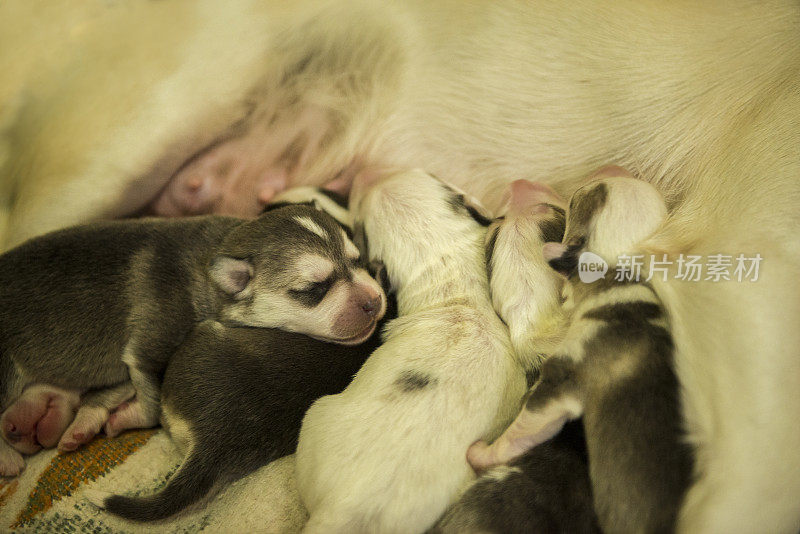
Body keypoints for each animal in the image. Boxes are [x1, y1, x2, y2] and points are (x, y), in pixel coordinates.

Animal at [0, 205, 388, 478]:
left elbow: (110, 392)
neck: (213, 260)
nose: (374, 301)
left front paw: (91, 419)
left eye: (358, 261)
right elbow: (151, 405)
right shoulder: (149, 345)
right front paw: (125, 416)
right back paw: (10, 457)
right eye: (314, 289)